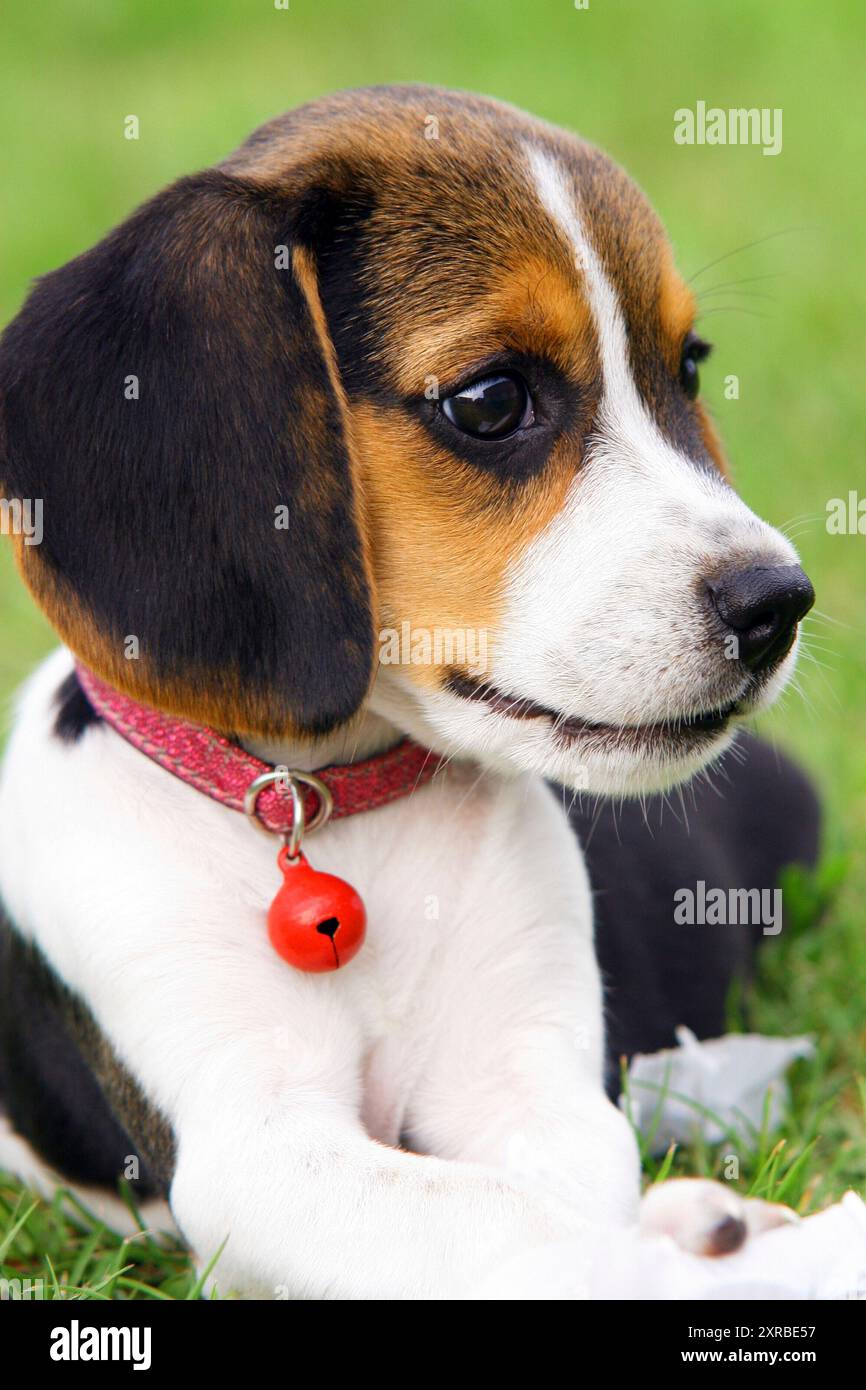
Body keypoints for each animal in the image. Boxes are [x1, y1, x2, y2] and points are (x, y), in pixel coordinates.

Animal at [0, 89, 817, 1301]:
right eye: (490, 400)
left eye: (687, 368)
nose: (778, 602)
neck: (328, 809)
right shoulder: (259, 1145)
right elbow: (505, 1223)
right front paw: (709, 1262)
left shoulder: (526, 1085)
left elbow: (544, 1198)